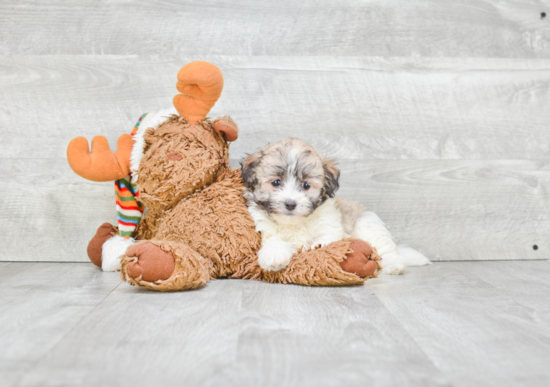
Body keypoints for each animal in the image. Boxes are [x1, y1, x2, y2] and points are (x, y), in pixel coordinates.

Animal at [242, 138, 432, 274]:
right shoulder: (266, 228)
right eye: (276, 182)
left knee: (386, 249)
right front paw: (274, 257)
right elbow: (274, 242)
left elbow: (320, 244)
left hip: (368, 224)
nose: (290, 204)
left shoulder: (328, 228)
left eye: (306, 185)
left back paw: (394, 265)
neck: (295, 223)